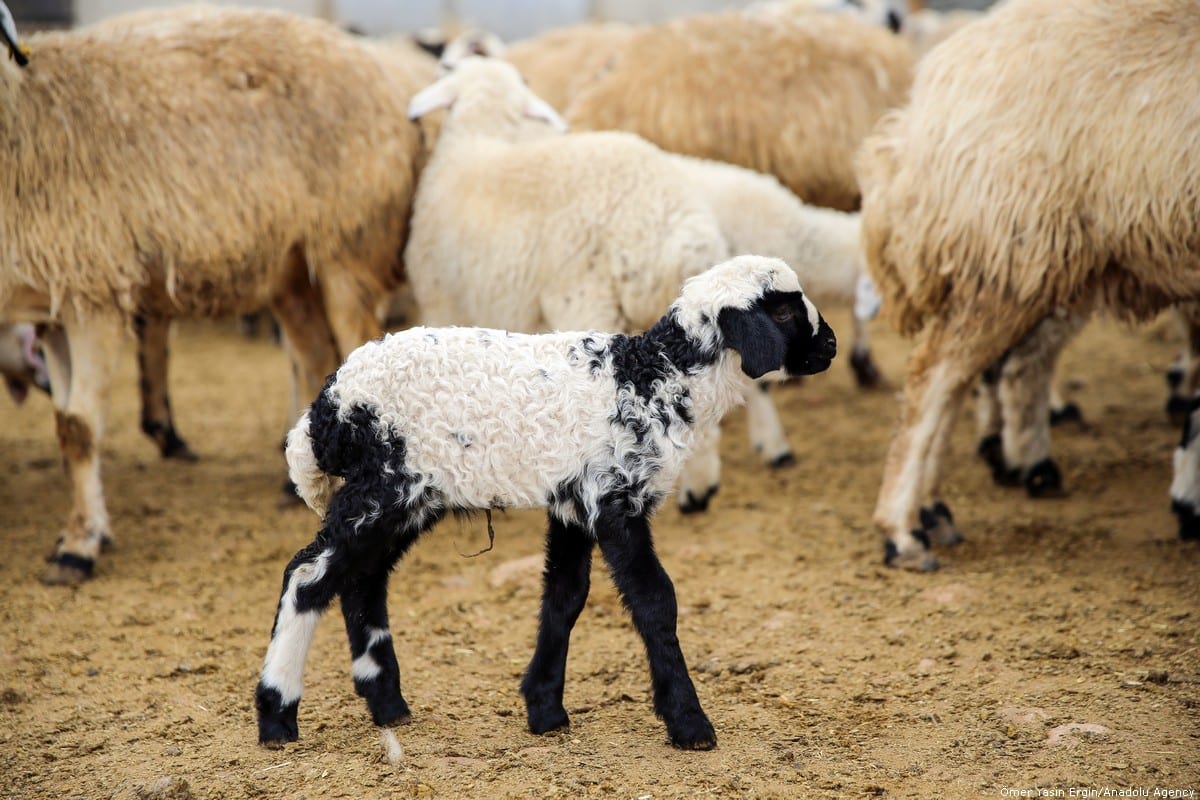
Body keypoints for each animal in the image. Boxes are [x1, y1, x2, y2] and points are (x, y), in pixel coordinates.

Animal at [0, 3, 439, 585]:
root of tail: (386, 70)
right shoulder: (51, 305)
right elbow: (66, 429)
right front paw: (82, 531)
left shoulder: (91, 291)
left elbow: (81, 428)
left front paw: (80, 546)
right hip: (292, 270)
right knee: (316, 359)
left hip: (346, 249)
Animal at [854, 0, 1200, 568]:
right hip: (1014, 253)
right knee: (938, 377)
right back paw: (903, 529)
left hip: (1036, 261)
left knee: (969, 377)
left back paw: (935, 511)